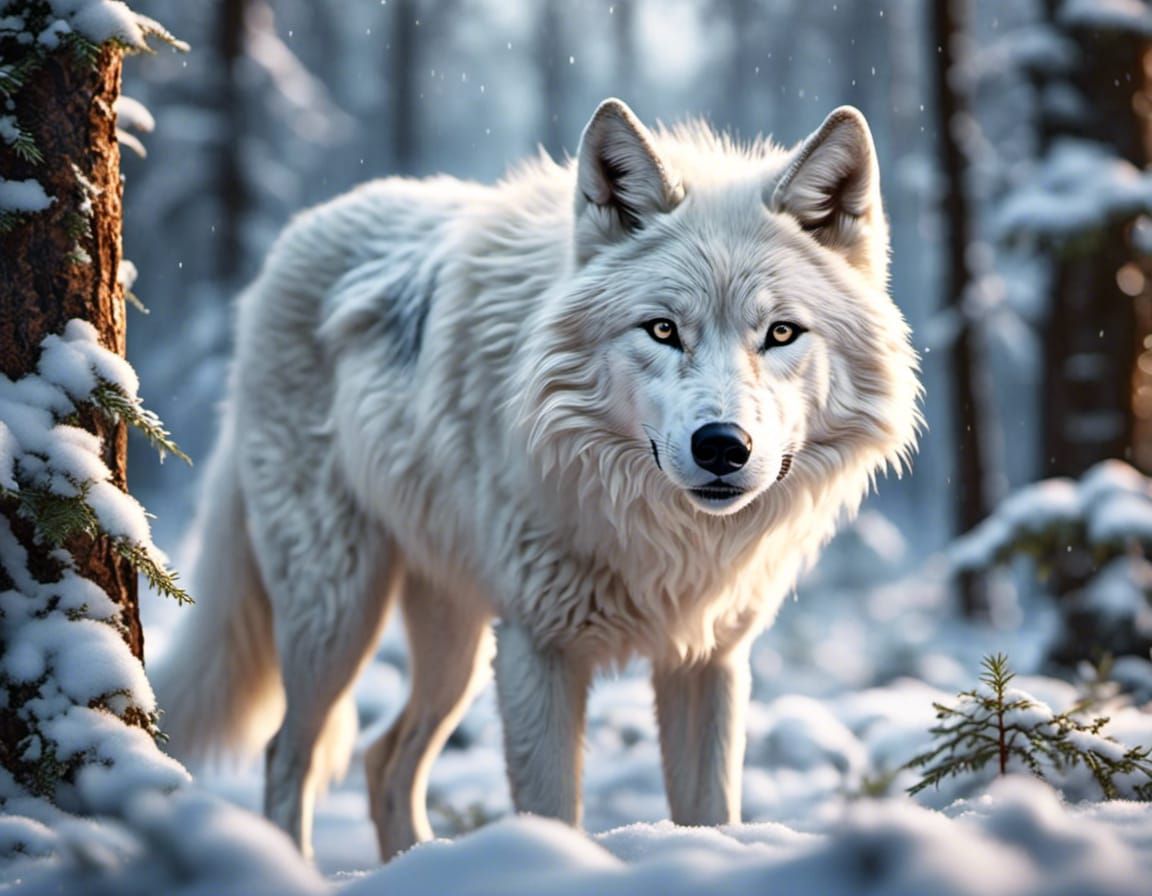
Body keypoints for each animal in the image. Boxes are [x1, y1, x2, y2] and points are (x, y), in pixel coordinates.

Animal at [154, 98, 920, 861]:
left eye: (782, 333)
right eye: (663, 330)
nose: (722, 447)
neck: (664, 539)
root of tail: (291, 241)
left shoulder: (711, 658)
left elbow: (712, 814)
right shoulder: (536, 644)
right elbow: (551, 810)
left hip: (454, 640)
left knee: (384, 757)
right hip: (337, 610)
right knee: (290, 751)